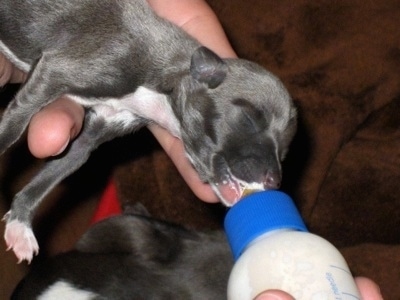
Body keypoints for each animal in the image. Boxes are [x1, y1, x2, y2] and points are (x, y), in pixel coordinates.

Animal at [0, 0, 296, 262]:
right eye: (249, 119)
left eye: (285, 147)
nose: (274, 181)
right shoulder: (57, 72)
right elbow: (12, 129)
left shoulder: (96, 131)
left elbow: (55, 172)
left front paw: (20, 225)